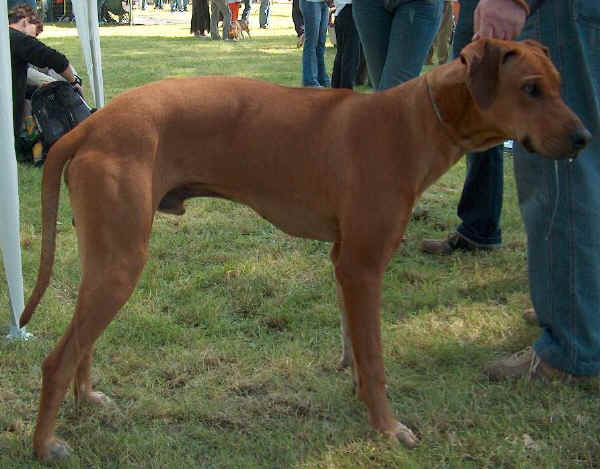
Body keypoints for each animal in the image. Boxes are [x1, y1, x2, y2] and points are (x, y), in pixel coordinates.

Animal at [21, 38, 588, 458]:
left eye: (559, 86)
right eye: (531, 89)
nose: (584, 138)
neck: (416, 121)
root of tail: (91, 124)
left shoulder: (344, 263)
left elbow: (356, 351)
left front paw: (362, 403)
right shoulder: (363, 266)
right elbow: (375, 359)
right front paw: (387, 429)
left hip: (107, 259)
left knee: (83, 342)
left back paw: (87, 397)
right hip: (122, 263)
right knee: (55, 360)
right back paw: (46, 444)